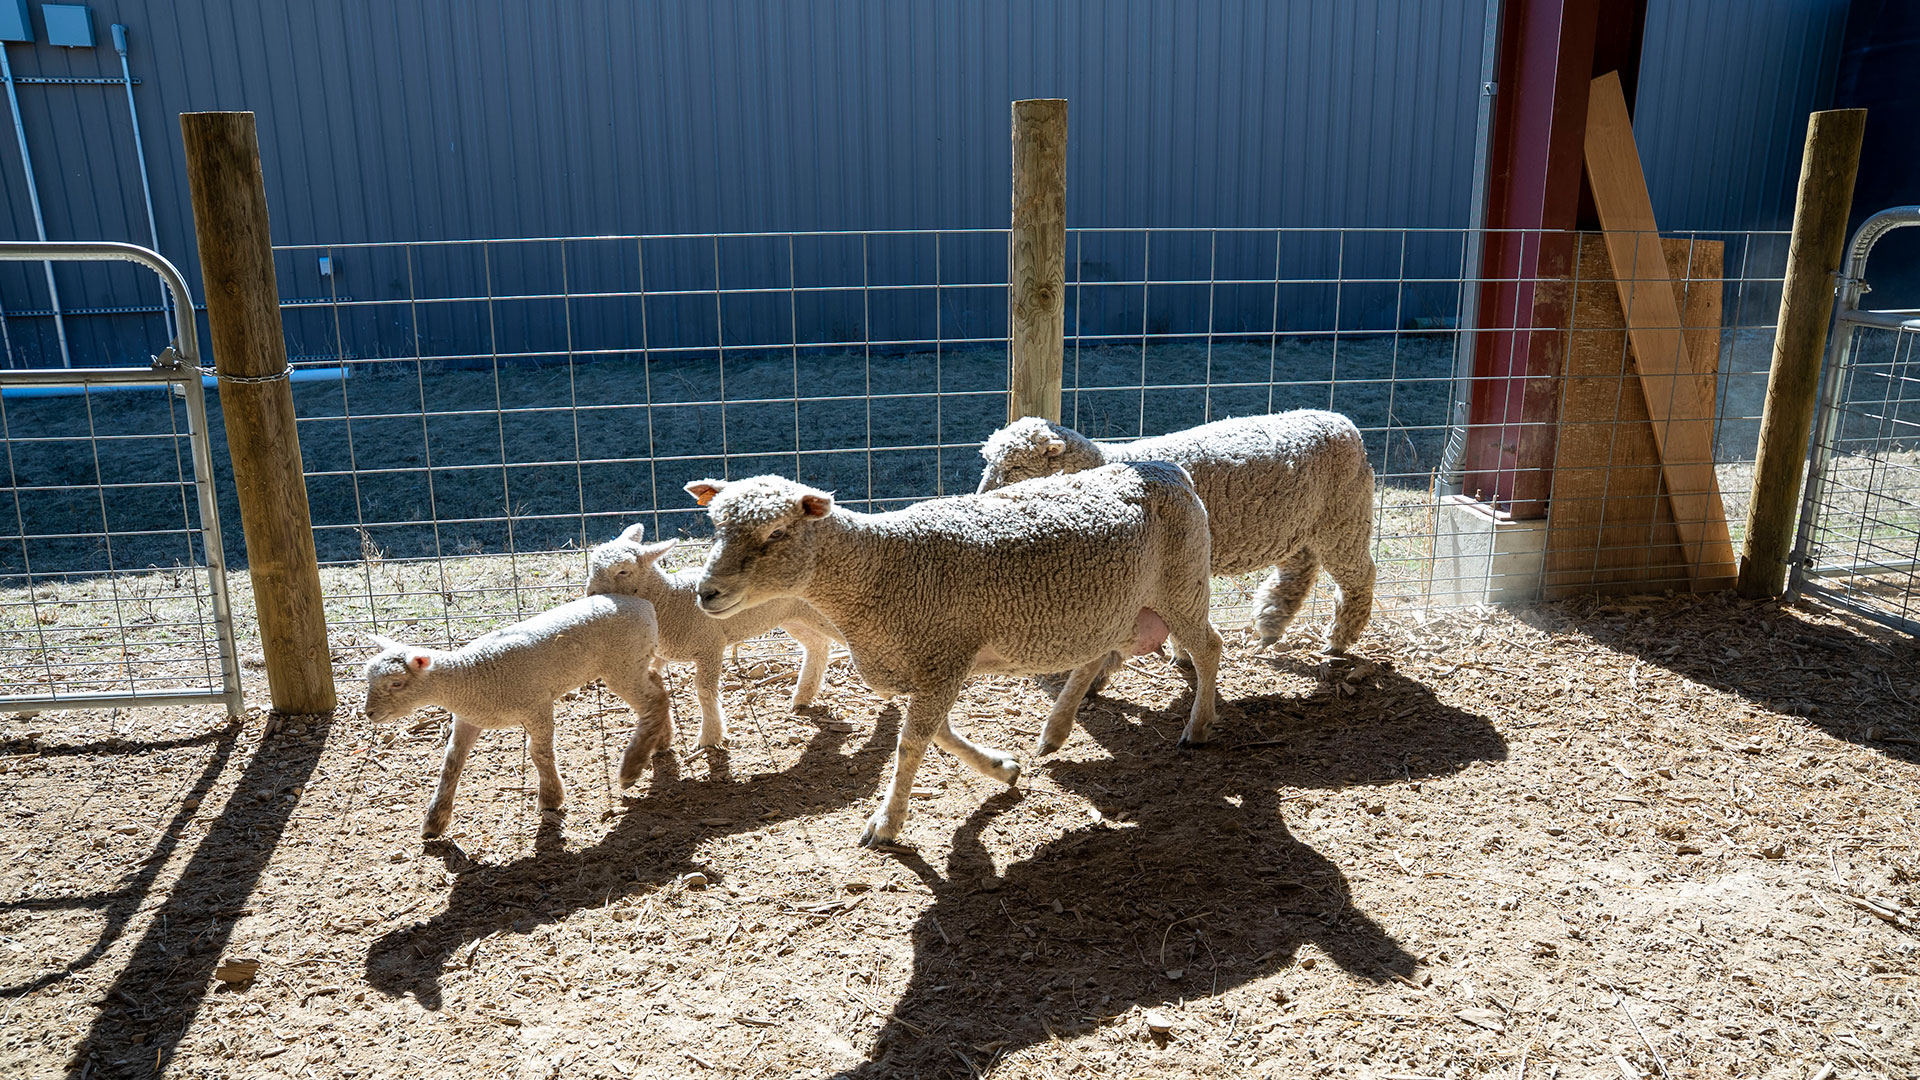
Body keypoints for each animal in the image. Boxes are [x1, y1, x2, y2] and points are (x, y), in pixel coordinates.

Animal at [361, 593, 672, 839]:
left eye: (396, 683)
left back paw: (632, 767)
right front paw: (435, 821)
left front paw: (550, 798)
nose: (370, 713)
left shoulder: (537, 705)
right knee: (659, 688)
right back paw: (661, 741)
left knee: (653, 701)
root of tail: (644, 604)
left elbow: (539, 752)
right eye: (369, 678)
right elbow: (451, 764)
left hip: (622, 664)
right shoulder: (468, 718)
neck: (469, 676)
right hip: (635, 663)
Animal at [585, 521, 844, 748]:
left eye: (623, 570)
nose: (590, 594)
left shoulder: (710, 645)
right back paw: (804, 694)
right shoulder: (662, 653)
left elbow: (705, 690)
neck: (670, 598)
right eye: (593, 566)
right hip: (793, 616)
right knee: (817, 644)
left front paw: (710, 736)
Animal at [685, 463, 1222, 847]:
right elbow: (938, 734)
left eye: (776, 533)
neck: (878, 569)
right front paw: (1001, 768)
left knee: (1209, 646)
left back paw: (1197, 728)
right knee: (1094, 658)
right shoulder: (930, 668)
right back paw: (1055, 730)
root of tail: (1168, 468)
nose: (705, 593)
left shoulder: (942, 660)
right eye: (715, 527)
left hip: (1182, 586)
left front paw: (887, 823)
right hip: (1115, 610)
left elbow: (911, 743)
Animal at [977, 410, 1376, 655]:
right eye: (989, 461)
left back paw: (1339, 640)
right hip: (1297, 524)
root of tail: (1345, 424)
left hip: (1345, 516)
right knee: (1300, 567)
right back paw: (1271, 621)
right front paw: (1181, 654)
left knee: (1359, 575)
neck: (1107, 461)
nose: (981, 495)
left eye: (1014, 466)